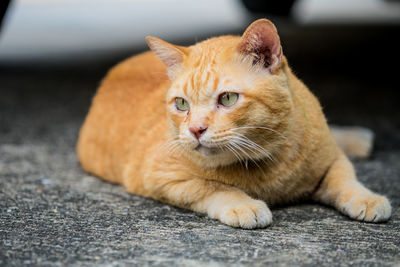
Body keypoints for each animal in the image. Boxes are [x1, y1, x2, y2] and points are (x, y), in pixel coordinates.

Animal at [77, 19, 390, 228]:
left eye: (227, 98)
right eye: (182, 104)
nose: (195, 130)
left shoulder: (331, 158)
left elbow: (346, 179)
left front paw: (367, 198)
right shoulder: (161, 177)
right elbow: (212, 187)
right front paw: (243, 204)